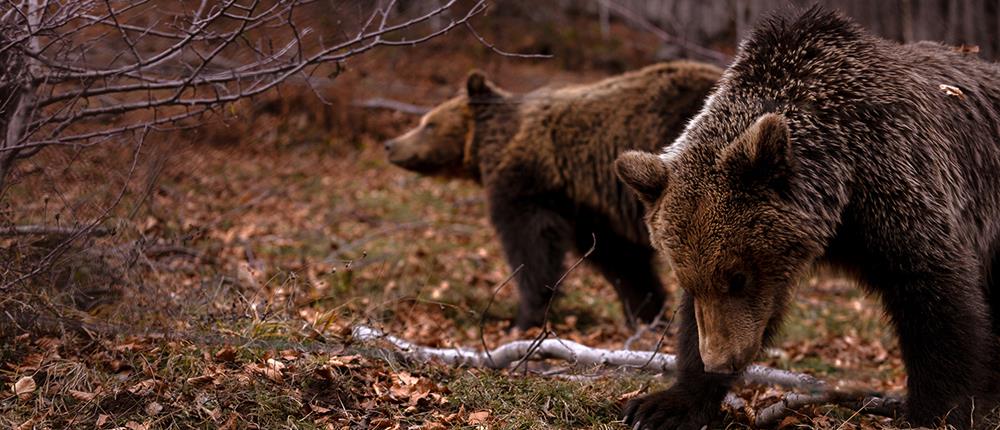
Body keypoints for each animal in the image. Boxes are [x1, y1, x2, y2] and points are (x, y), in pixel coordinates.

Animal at [382, 61, 720, 330]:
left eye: (429, 124)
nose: (390, 144)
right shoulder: (590, 208)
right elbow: (622, 259)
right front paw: (646, 312)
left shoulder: (531, 186)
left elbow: (532, 247)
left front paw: (523, 318)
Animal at [616, 6, 1000, 430]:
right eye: (686, 279)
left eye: (737, 276)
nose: (719, 362)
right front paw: (665, 404)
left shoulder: (897, 181)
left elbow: (934, 292)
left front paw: (936, 410)